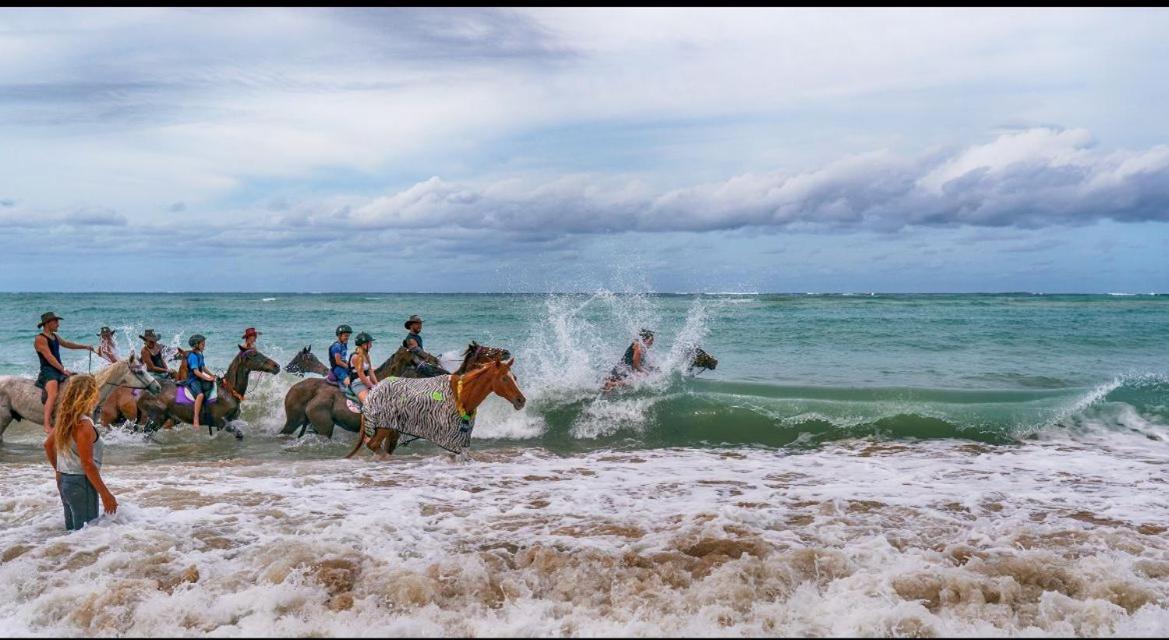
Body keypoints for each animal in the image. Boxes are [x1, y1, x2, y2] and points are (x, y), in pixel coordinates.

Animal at [135, 346, 280, 439]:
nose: (276, 366)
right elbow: (238, 434)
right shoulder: (220, 421)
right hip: (156, 418)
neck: (228, 391)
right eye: (254, 355)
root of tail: (144, 393)